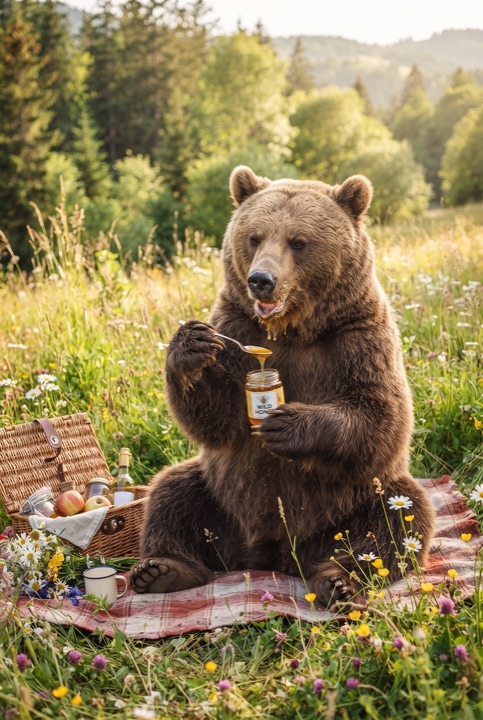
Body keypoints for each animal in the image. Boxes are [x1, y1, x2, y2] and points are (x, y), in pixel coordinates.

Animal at [130, 165, 435, 609]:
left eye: (299, 241)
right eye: (254, 236)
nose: (261, 280)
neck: (292, 328)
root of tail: (274, 556)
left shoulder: (358, 336)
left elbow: (381, 414)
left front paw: (286, 425)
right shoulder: (237, 327)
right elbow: (217, 420)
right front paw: (191, 346)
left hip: (352, 503)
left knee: (398, 518)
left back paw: (340, 581)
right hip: (219, 498)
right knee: (172, 493)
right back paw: (161, 569)